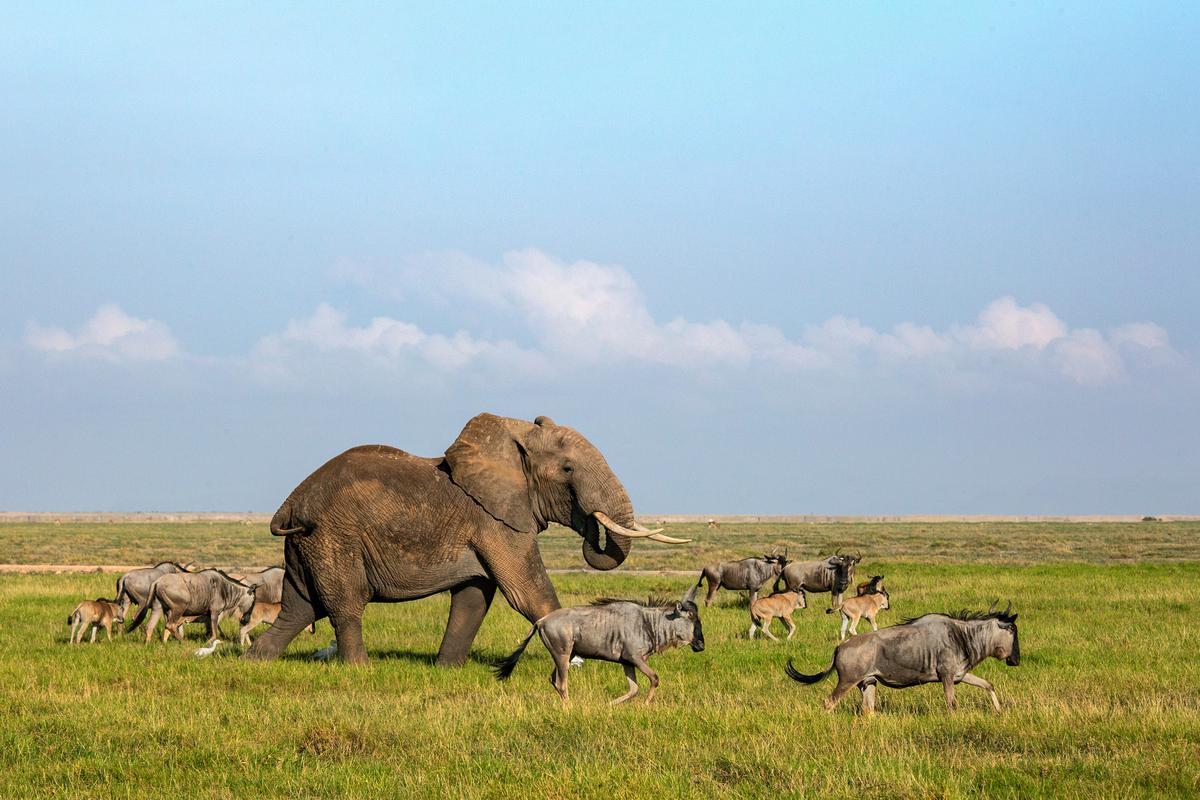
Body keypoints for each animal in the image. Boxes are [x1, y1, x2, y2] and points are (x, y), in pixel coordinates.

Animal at [242, 417, 686, 666]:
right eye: (568, 469)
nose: (591, 525)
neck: (512, 436)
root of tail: (290, 504)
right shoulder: (497, 521)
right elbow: (526, 592)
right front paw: (580, 663)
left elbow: (474, 597)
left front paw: (447, 670)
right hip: (335, 537)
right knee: (344, 605)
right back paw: (359, 670)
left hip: (308, 545)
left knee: (298, 606)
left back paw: (256, 660)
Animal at [494, 587, 700, 705]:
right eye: (691, 617)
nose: (700, 645)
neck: (648, 623)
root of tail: (541, 621)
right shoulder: (635, 658)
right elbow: (655, 678)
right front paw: (647, 704)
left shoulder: (627, 662)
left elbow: (633, 689)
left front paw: (609, 706)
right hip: (562, 655)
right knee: (561, 683)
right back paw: (569, 708)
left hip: (566, 655)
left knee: (553, 680)